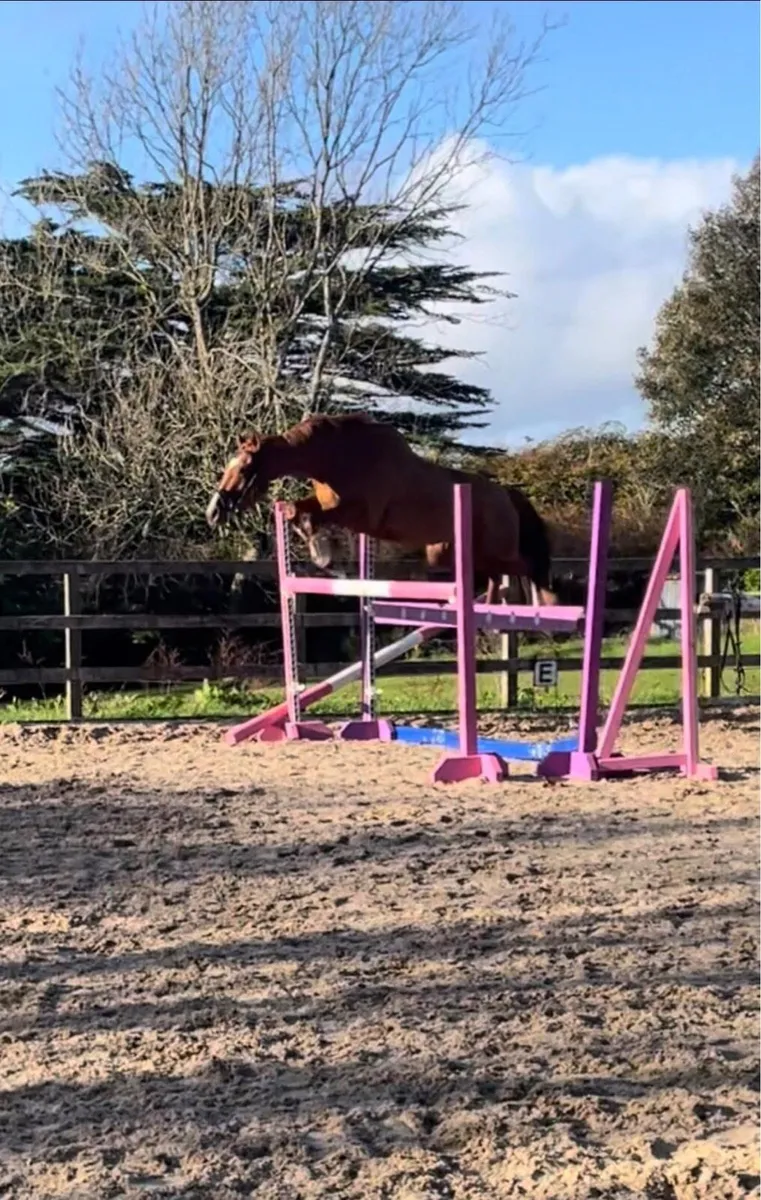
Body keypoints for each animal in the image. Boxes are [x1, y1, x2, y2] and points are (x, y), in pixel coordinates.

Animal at [205, 413, 558, 606]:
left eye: (244, 468)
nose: (213, 512)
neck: (336, 457)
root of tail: (506, 494)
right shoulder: (325, 502)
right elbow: (296, 509)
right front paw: (319, 551)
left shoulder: (359, 513)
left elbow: (310, 515)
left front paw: (322, 553)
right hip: (451, 552)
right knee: (498, 574)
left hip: (497, 548)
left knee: (527, 566)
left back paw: (540, 604)